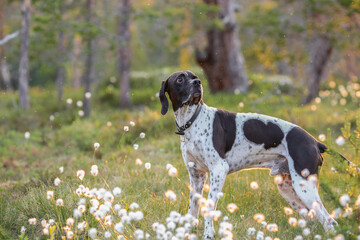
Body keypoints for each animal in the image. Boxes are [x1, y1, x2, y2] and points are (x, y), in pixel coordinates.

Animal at [160, 70, 358, 238]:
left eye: (195, 77)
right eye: (180, 79)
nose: (198, 83)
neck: (192, 121)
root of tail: (315, 142)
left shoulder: (219, 170)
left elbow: (209, 209)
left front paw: (208, 234)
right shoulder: (196, 176)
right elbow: (192, 211)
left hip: (304, 187)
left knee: (329, 221)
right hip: (289, 189)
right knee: (316, 219)